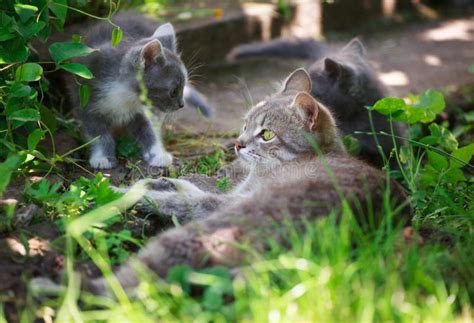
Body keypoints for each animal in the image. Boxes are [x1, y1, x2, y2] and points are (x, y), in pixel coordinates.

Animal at [82, 69, 408, 298]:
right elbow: (180, 185)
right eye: (244, 124)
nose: (237, 144)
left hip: (193, 235)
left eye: (267, 134)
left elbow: (181, 197)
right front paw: (156, 181)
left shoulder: (224, 202)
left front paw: (118, 191)